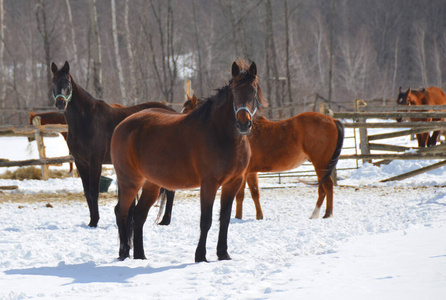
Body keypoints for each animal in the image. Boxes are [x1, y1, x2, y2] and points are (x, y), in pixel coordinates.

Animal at [49, 60, 173, 227]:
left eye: (67, 80)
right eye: (53, 81)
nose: (61, 103)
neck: (86, 120)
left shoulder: (95, 162)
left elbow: (93, 192)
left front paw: (94, 222)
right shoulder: (80, 162)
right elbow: (87, 192)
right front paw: (92, 221)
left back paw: (165, 221)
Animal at [112, 59, 264, 262]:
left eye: (253, 92)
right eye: (234, 92)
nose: (243, 124)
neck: (221, 135)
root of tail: (122, 125)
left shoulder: (233, 182)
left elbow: (224, 219)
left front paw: (223, 254)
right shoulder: (209, 184)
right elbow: (206, 220)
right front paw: (200, 256)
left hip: (151, 184)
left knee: (138, 215)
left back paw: (140, 256)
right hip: (130, 181)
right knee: (121, 212)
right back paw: (123, 253)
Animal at [166, 95, 344, 221]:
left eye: (188, 110)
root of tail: (332, 119)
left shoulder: (243, 173)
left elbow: (240, 195)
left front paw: (237, 217)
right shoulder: (251, 172)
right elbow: (254, 193)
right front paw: (258, 216)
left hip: (320, 163)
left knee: (327, 186)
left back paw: (326, 213)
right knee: (323, 188)